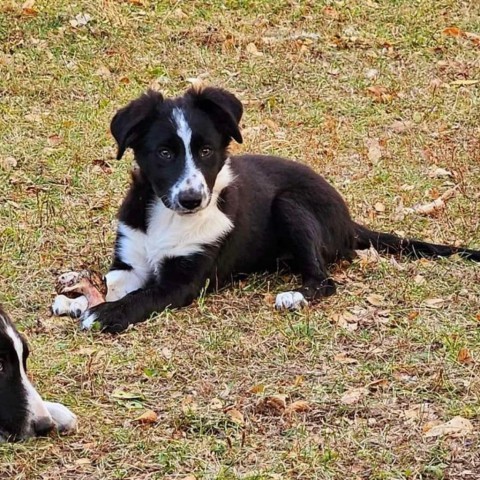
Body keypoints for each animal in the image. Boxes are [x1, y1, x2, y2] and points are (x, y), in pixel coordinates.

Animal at [50, 87, 478, 334]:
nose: (192, 200)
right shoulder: (130, 260)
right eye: (165, 153)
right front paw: (78, 301)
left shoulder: (182, 282)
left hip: (291, 206)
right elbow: (112, 284)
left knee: (326, 280)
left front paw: (106, 315)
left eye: (207, 150)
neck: (168, 217)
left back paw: (296, 295)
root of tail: (349, 220)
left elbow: (140, 298)